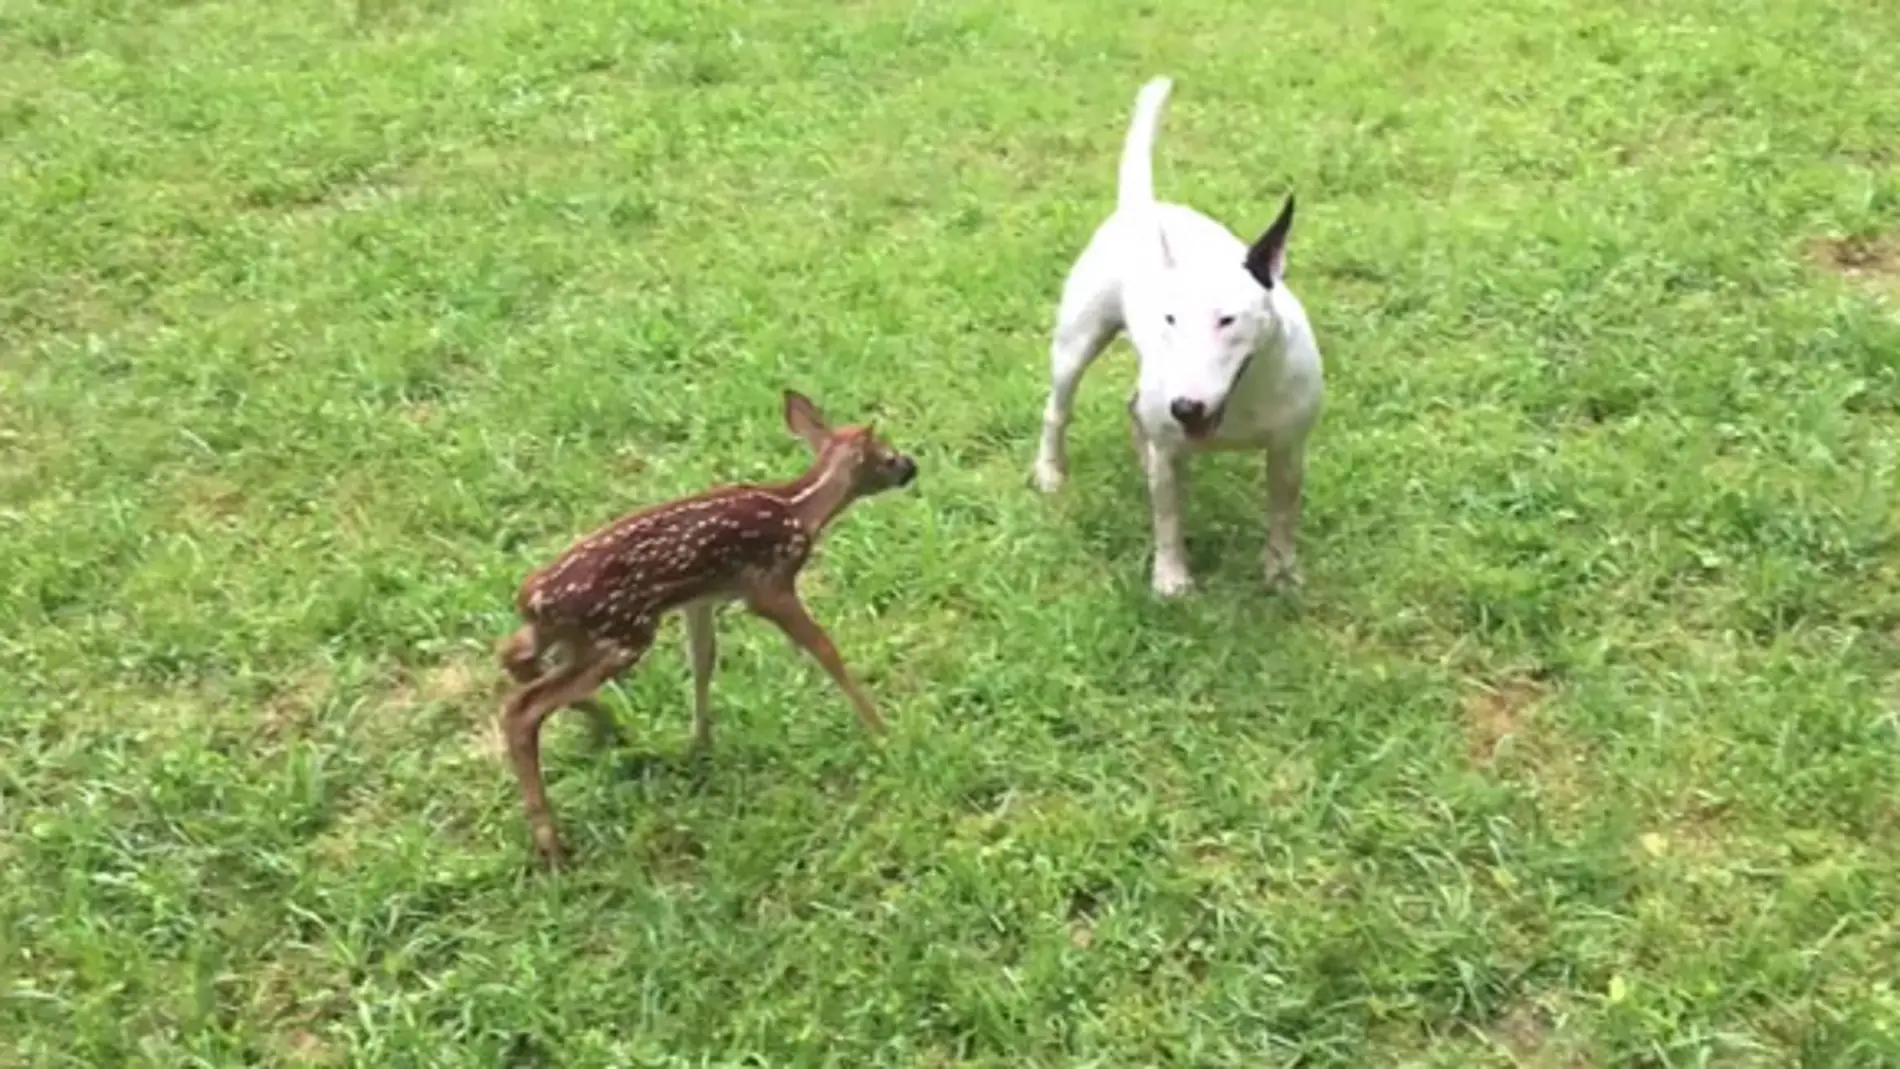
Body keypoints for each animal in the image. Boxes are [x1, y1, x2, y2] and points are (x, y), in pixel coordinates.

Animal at [1033, 78, 1330, 600]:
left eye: (1228, 320)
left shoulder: (1288, 448)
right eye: (1169, 318)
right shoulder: (1172, 453)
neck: (1241, 398)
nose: (1185, 408)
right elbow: (1168, 518)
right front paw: (1171, 579)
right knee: (1058, 408)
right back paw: (1050, 470)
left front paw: (1280, 572)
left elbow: (1283, 511)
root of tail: (1139, 206)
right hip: (1077, 341)